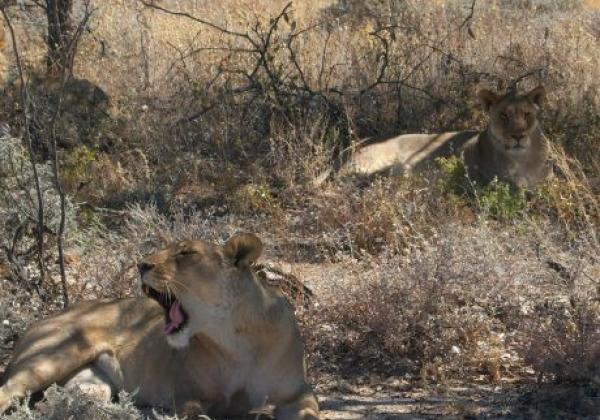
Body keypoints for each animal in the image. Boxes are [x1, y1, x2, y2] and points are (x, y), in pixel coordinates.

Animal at [0, 235, 318, 418]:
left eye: (185, 253)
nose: (141, 265)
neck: (235, 341)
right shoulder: (187, 394)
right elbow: (197, 413)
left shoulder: (299, 393)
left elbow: (307, 413)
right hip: (53, 355)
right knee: (8, 391)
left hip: (90, 382)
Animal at [316, 85, 552, 189]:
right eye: (503, 115)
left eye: (527, 115)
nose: (518, 135)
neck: (521, 159)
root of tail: (345, 152)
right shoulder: (477, 176)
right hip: (376, 160)